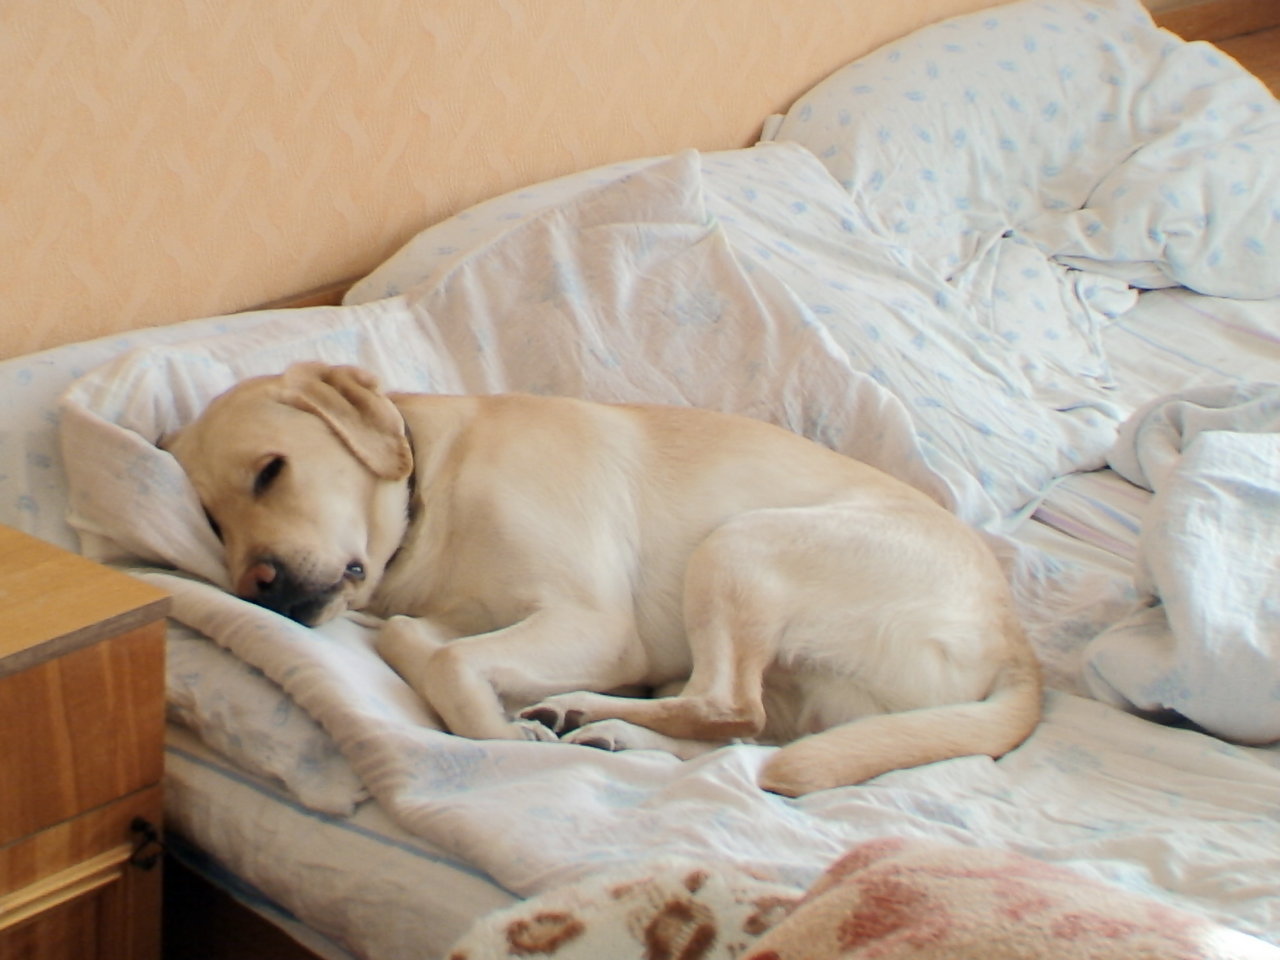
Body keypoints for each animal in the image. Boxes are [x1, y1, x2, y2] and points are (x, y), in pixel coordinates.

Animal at [164, 362, 1041, 796]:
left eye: (270, 472)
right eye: (211, 520)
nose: (260, 587)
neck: (432, 497)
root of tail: (1016, 645)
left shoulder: (593, 623)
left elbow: (447, 661)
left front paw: (495, 734)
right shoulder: (459, 614)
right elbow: (420, 641)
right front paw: (501, 713)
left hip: (738, 544)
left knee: (727, 705)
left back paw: (585, 712)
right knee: (741, 728)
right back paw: (604, 728)